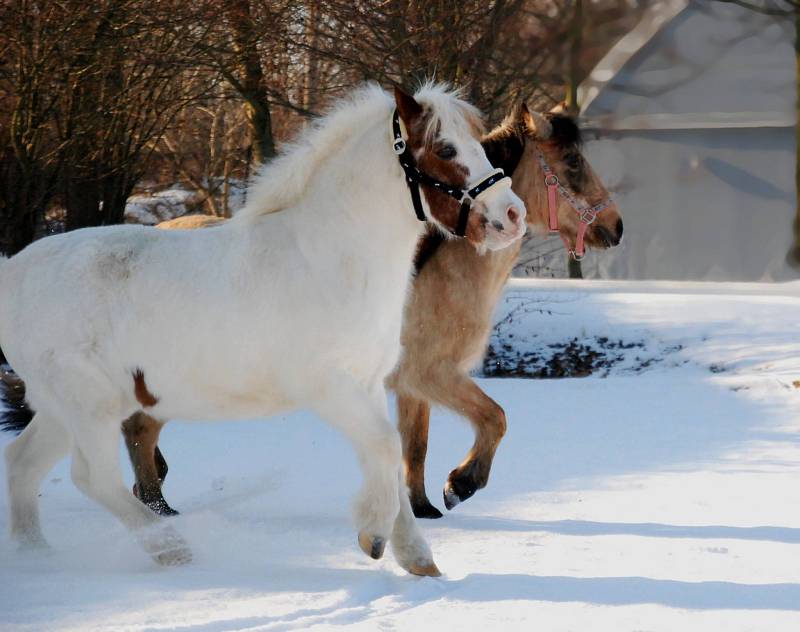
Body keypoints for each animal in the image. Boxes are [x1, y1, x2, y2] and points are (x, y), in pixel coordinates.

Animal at [0, 82, 524, 572]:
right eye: (446, 149)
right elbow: (383, 445)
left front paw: (418, 559)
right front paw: (373, 537)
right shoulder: (330, 387)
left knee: (22, 464)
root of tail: (14, 271)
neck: (331, 259)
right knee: (91, 477)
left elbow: (389, 461)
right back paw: (171, 550)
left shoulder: (369, 384)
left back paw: (38, 556)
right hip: (89, 403)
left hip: (62, 408)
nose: (512, 215)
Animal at [123, 102, 624, 520]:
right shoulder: (431, 374)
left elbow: (415, 450)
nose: (616, 226)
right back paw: (159, 509)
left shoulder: (411, 387)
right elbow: (494, 418)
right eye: (573, 163)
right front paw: (461, 484)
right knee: (140, 433)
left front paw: (424, 509)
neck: (433, 272)